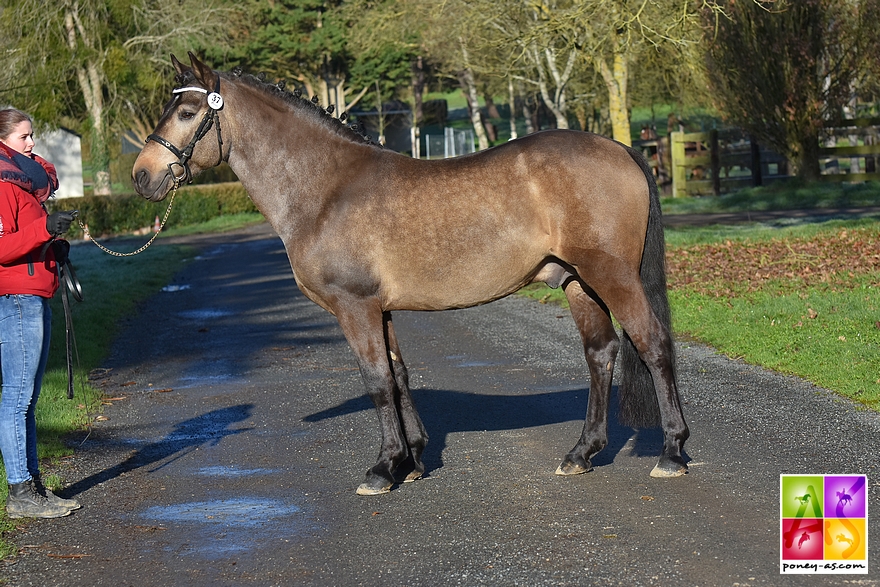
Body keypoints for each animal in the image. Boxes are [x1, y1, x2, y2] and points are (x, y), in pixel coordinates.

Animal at [134, 54, 692, 496]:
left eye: (187, 112)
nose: (143, 174)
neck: (326, 188)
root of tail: (619, 147)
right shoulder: (379, 309)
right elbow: (399, 375)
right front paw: (414, 459)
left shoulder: (355, 306)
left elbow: (377, 380)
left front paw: (383, 469)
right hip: (578, 282)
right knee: (601, 353)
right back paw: (581, 453)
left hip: (612, 276)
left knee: (653, 345)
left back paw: (672, 453)